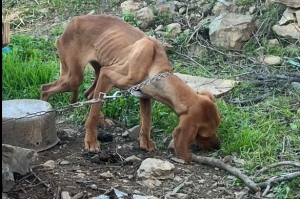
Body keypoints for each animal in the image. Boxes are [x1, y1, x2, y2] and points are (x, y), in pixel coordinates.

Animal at [40, 15, 220, 162]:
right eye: (203, 133)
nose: (218, 146)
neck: (155, 68)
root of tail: (70, 24)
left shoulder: (144, 95)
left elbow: (146, 122)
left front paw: (145, 142)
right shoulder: (108, 75)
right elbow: (92, 116)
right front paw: (91, 141)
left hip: (97, 70)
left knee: (90, 95)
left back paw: (102, 120)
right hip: (75, 77)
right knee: (45, 88)